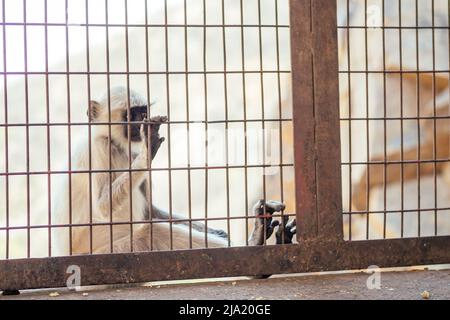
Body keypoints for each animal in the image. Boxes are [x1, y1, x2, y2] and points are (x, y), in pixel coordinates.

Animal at [51, 86, 296, 256]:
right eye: (131, 115)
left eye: (143, 112)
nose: (140, 122)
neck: (114, 143)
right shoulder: (98, 149)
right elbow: (102, 207)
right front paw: (148, 150)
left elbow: (149, 210)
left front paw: (217, 231)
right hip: (113, 252)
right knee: (151, 232)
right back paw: (255, 240)